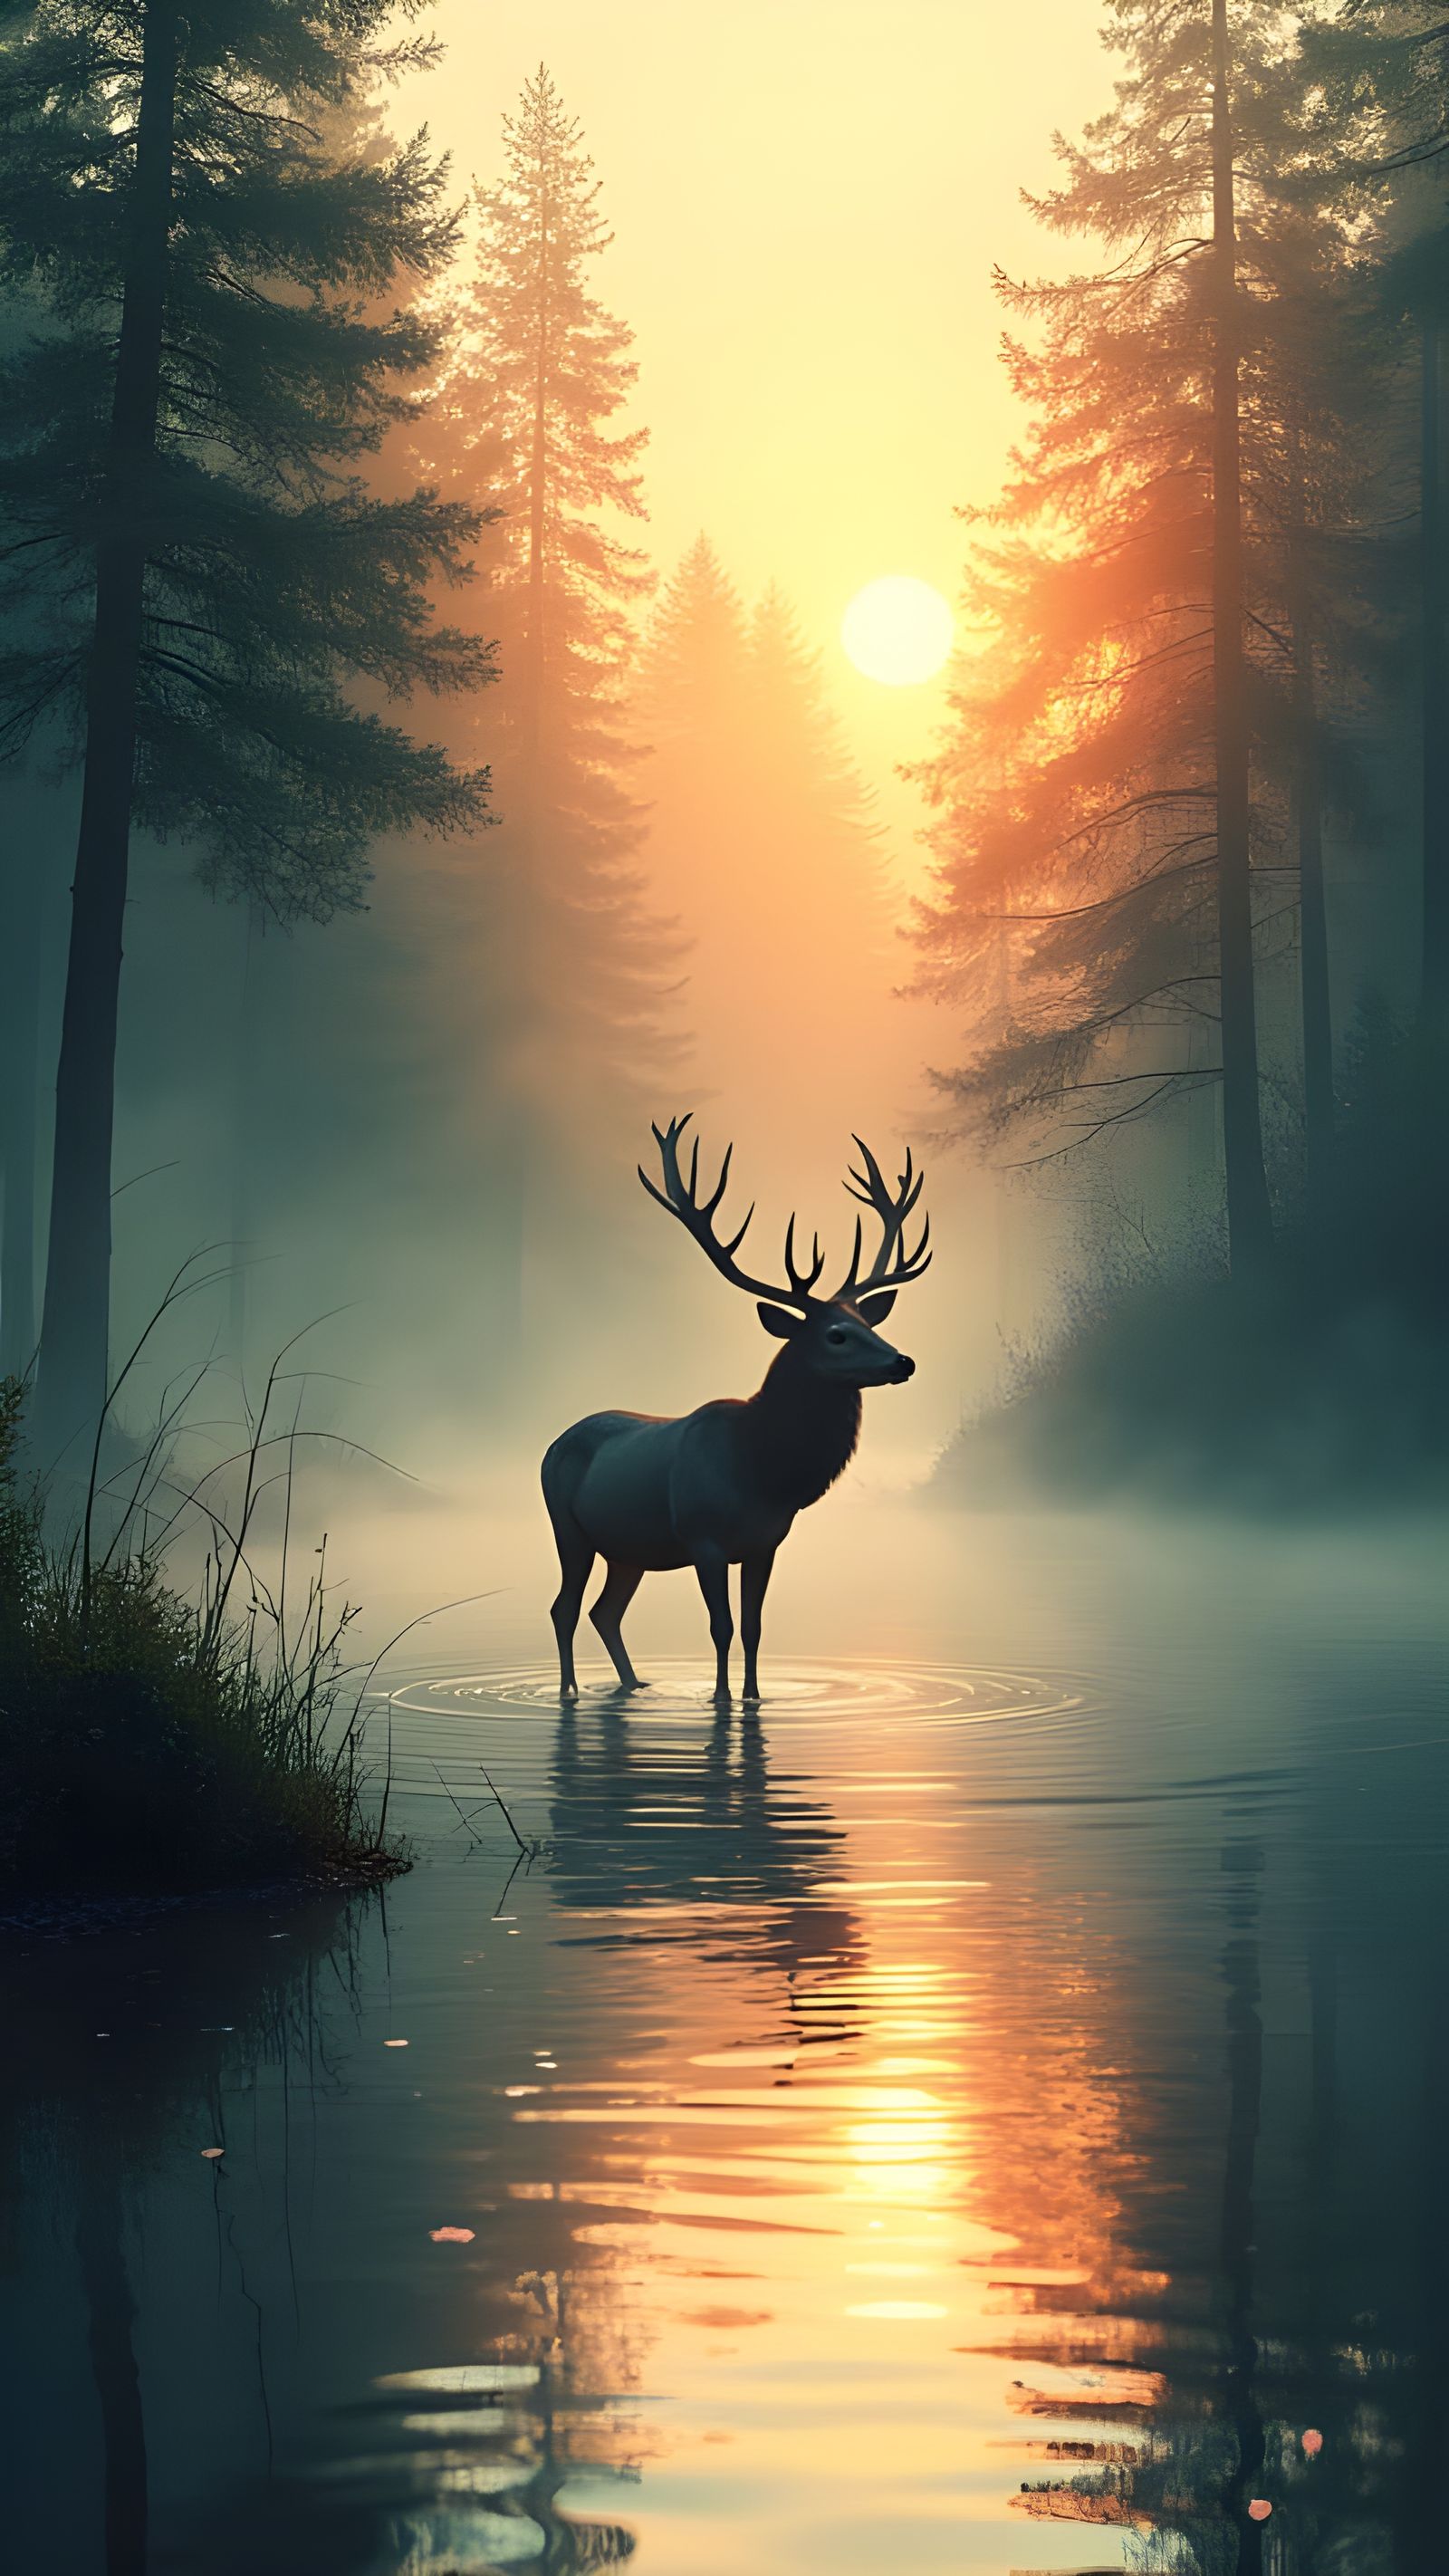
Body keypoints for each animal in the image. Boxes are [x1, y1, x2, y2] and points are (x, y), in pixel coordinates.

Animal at [541, 1115, 931, 1704]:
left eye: (870, 1323)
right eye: (837, 1335)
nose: (903, 1361)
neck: (762, 1469)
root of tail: (553, 1443)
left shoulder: (765, 1543)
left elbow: (753, 1626)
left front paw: (753, 1696)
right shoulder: (704, 1539)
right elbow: (720, 1626)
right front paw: (720, 1697)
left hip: (626, 1549)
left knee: (605, 1613)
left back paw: (635, 1685)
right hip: (569, 1528)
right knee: (564, 1608)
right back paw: (570, 1691)